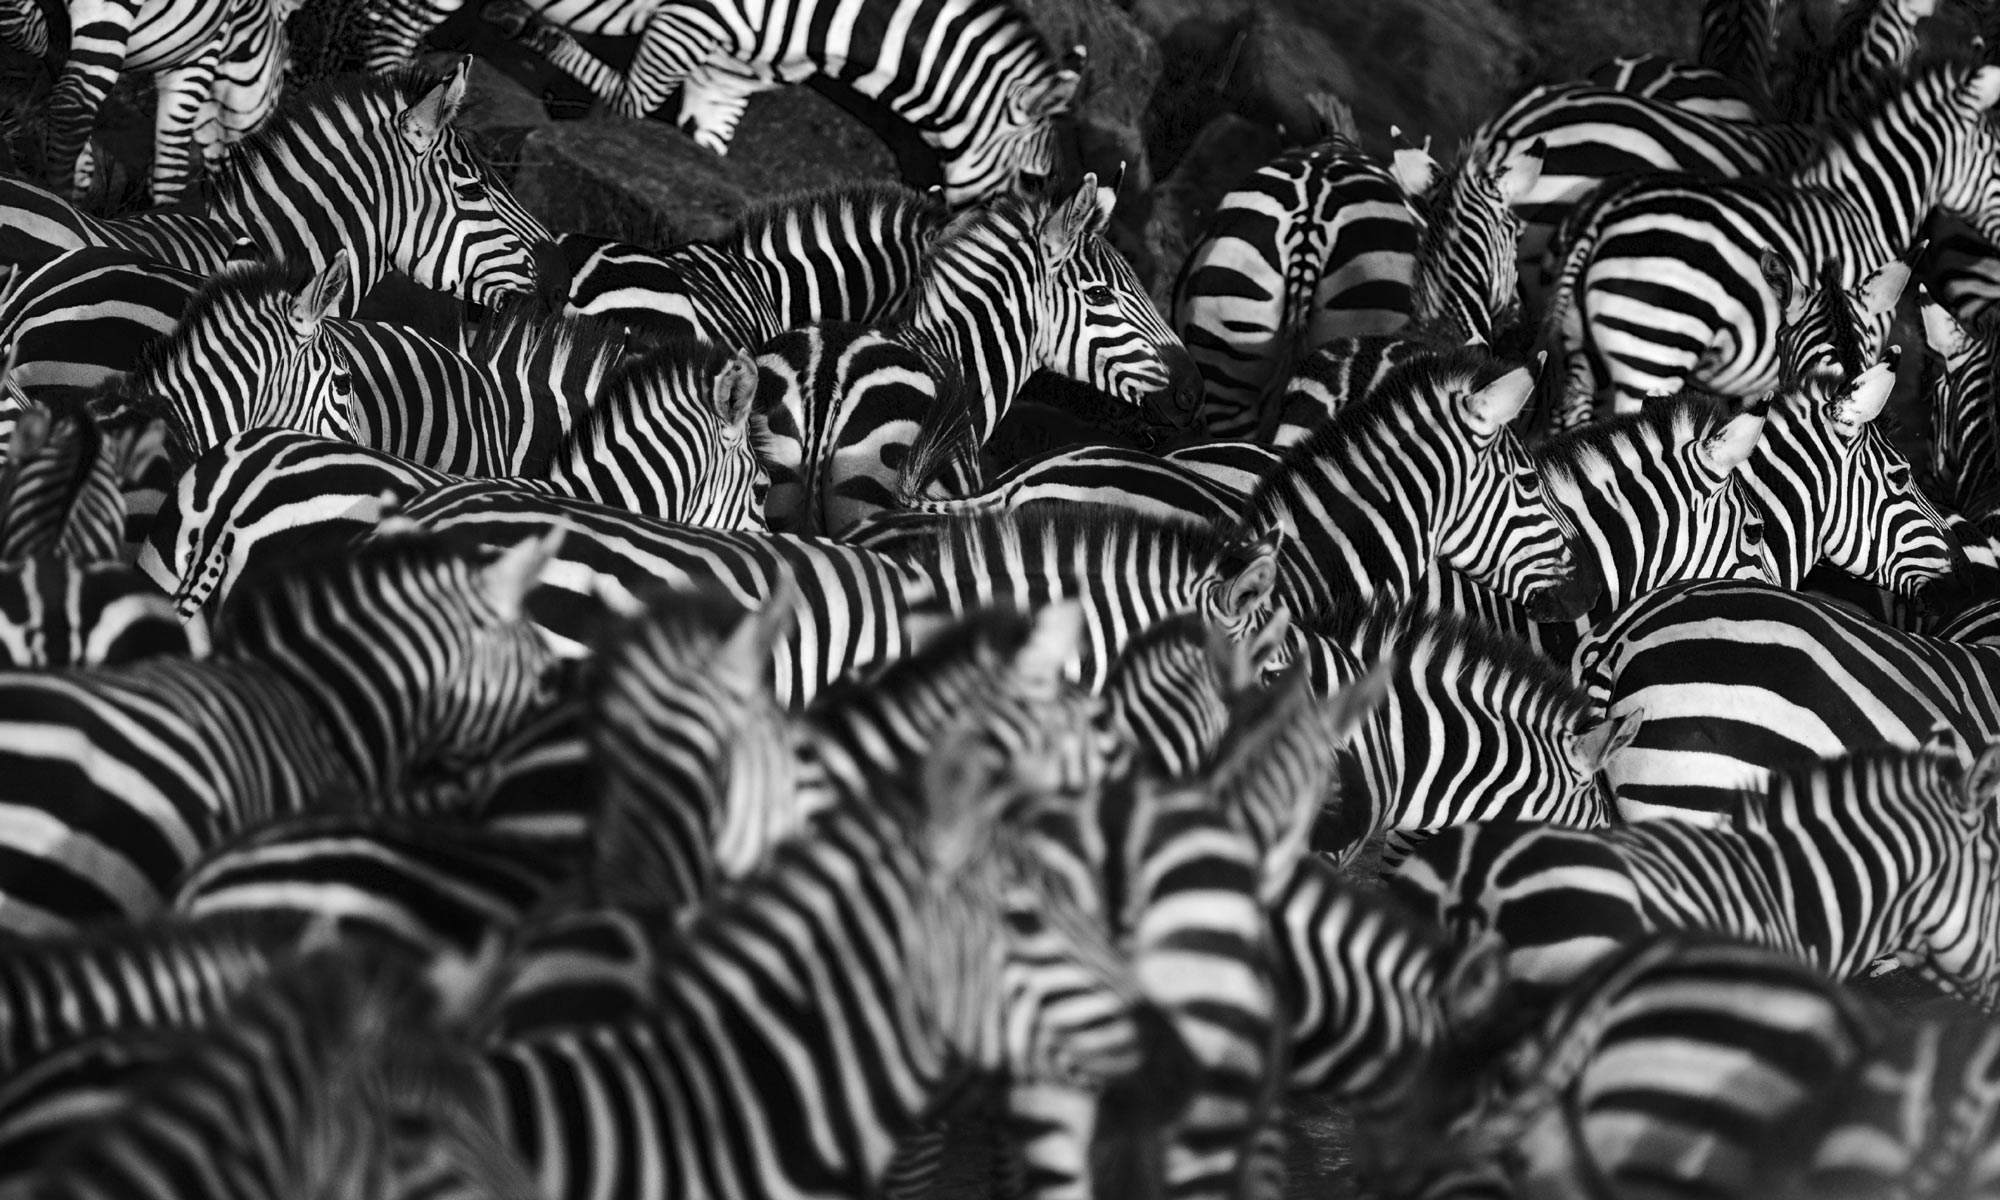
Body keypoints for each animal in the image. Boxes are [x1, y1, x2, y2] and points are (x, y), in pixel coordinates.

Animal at [1543, 64, 2000, 420]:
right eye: (1999, 161)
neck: (1863, 207)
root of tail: (1604, 210)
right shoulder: (1865, 333)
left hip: (1581, 352)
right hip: (1651, 352)